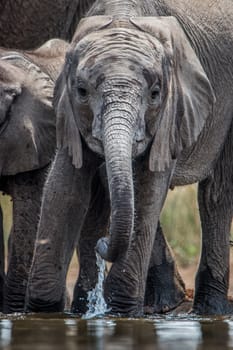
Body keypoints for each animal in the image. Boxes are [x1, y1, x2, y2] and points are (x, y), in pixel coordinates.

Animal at [25, 0, 233, 318]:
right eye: (82, 91)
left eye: (155, 93)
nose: (103, 242)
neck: (122, 18)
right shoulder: (68, 113)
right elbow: (65, 189)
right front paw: (42, 313)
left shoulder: (170, 113)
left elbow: (147, 188)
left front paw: (122, 312)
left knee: (216, 194)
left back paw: (209, 311)